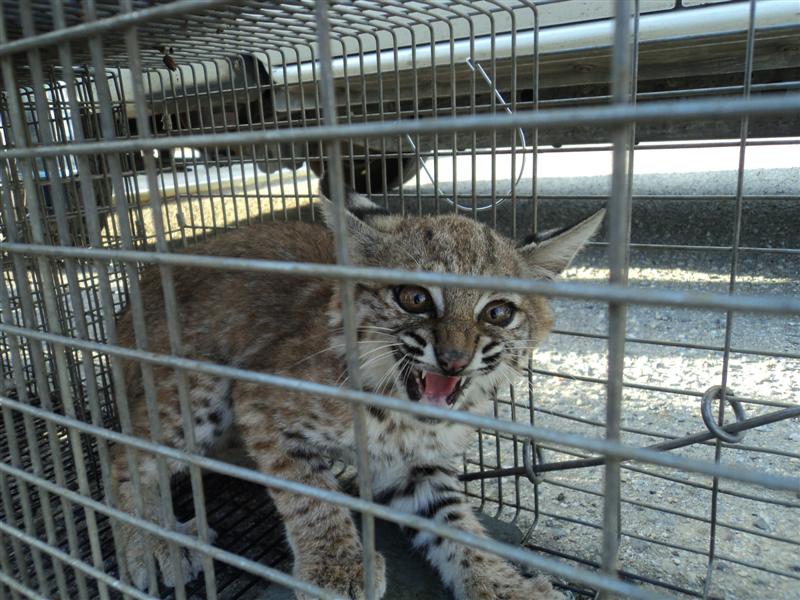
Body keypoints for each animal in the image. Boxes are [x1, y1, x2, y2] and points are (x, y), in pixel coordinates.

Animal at [109, 186, 604, 596]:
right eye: (415, 298)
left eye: (498, 312)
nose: (454, 359)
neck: (400, 411)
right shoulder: (257, 400)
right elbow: (308, 492)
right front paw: (338, 566)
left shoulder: (417, 463)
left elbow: (456, 525)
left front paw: (501, 585)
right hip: (202, 382)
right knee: (124, 455)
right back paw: (154, 541)